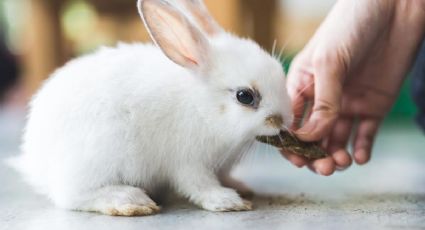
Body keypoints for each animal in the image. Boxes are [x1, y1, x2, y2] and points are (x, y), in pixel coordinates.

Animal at [12, 0, 292, 216]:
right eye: (245, 97)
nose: (283, 120)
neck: (203, 106)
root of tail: (35, 160)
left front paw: (240, 187)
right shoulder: (188, 162)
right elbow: (199, 185)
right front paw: (229, 201)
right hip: (99, 155)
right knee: (71, 196)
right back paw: (129, 200)